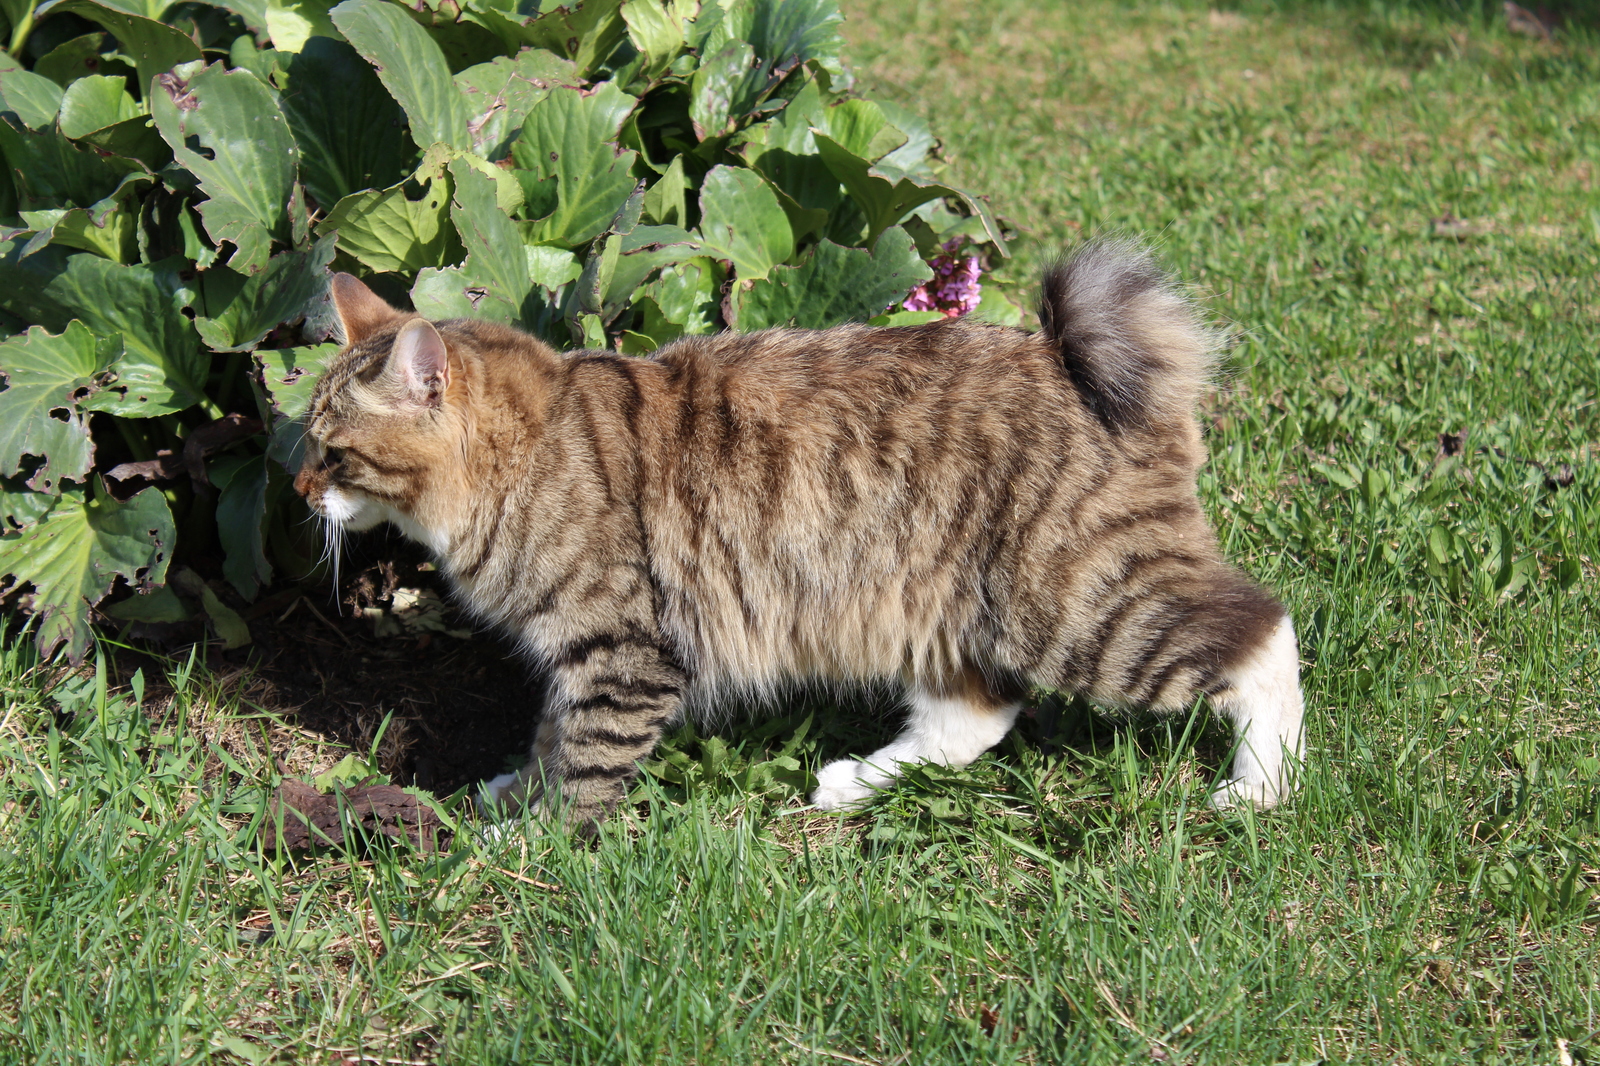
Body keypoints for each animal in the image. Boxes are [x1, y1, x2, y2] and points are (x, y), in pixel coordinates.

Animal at [297, 243, 1299, 832]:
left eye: (334, 452)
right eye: (307, 442)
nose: (302, 489)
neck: (532, 448)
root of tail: (1063, 352)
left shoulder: (623, 651)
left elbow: (585, 763)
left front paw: (527, 842)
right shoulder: (580, 657)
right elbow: (550, 737)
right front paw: (518, 790)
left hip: (1083, 608)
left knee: (1261, 636)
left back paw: (1263, 785)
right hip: (937, 609)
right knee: (975, 717)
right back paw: (856, 782)